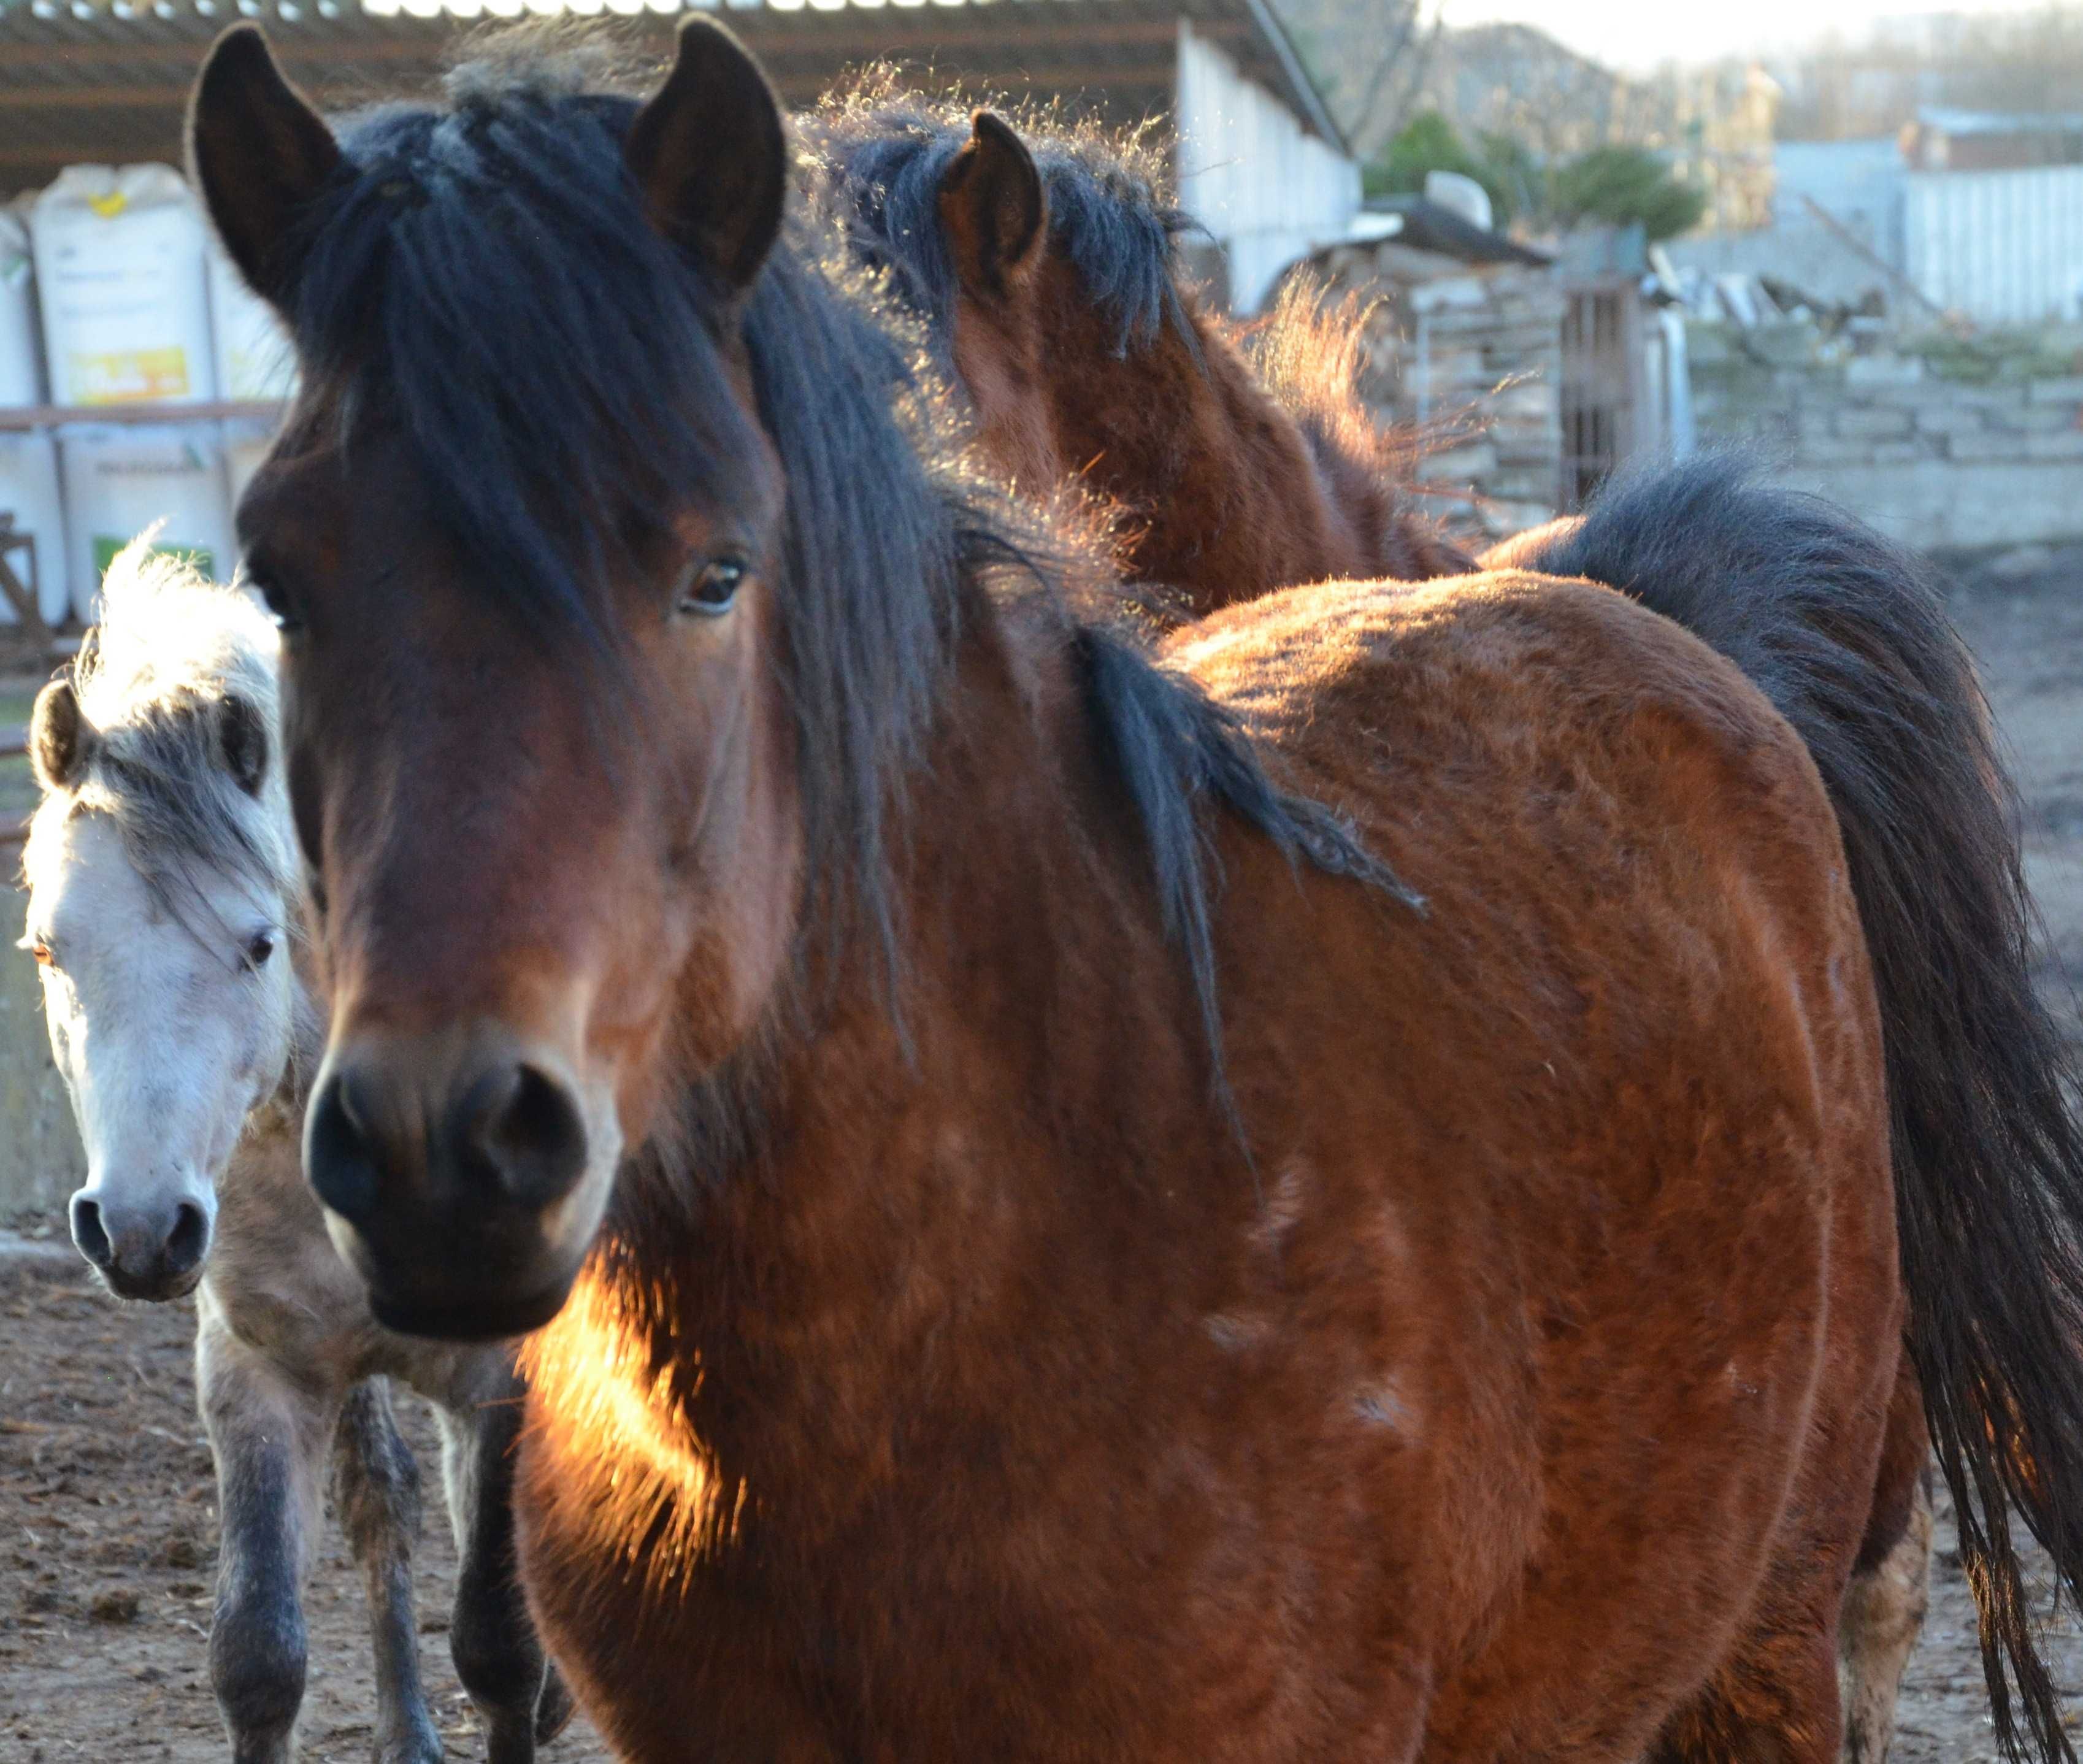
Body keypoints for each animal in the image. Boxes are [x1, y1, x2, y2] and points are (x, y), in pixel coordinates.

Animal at [20, 545, 570, 1757]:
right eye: (47, 948)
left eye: (259, 943)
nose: (137, 1229)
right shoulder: (258, 1371)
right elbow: (258, 1657)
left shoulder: (505, 1374)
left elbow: (499, 1653)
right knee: (386, 1497)